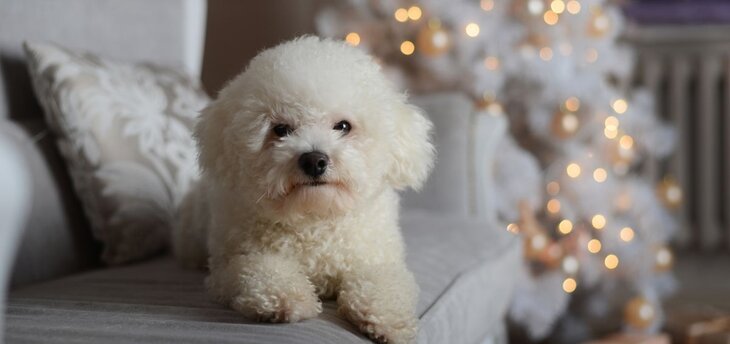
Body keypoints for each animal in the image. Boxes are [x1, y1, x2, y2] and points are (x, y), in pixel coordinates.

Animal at [172, 36, 432, 342]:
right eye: (281, 129)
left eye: (343, 126)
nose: (314, 160)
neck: (314, 219)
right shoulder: (229, 267)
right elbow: (259, 269)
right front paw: (284, 298)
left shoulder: (377, 259)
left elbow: (385, 283)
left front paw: (388, 319)